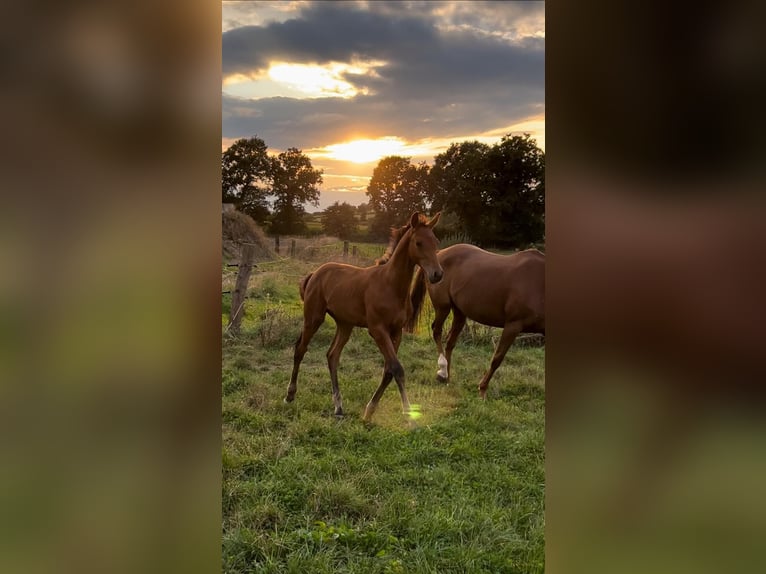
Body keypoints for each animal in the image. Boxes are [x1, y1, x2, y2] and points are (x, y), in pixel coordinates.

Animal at [284, 214, 444, 420]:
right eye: (418, 243)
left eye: (436, 242)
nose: (437, 274)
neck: (391, 285)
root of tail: (315, 273)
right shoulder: (377, 331)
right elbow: (397, 369)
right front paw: (409, 415)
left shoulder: (396, 331)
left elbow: (388, 370)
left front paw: (369, 411)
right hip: (313, 318)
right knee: (300, 350)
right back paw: (290, 395)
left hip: (345, 324)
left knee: (332, 355)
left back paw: (338, 407)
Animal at [408, 246, 544, 400]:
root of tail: (439, 253)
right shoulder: (513, 325)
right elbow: (497, 358)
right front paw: (482, 389)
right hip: (443, 307)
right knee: (437, 331)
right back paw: (442, 373)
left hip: (459, 313)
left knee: (450, 342)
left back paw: (447, 377)